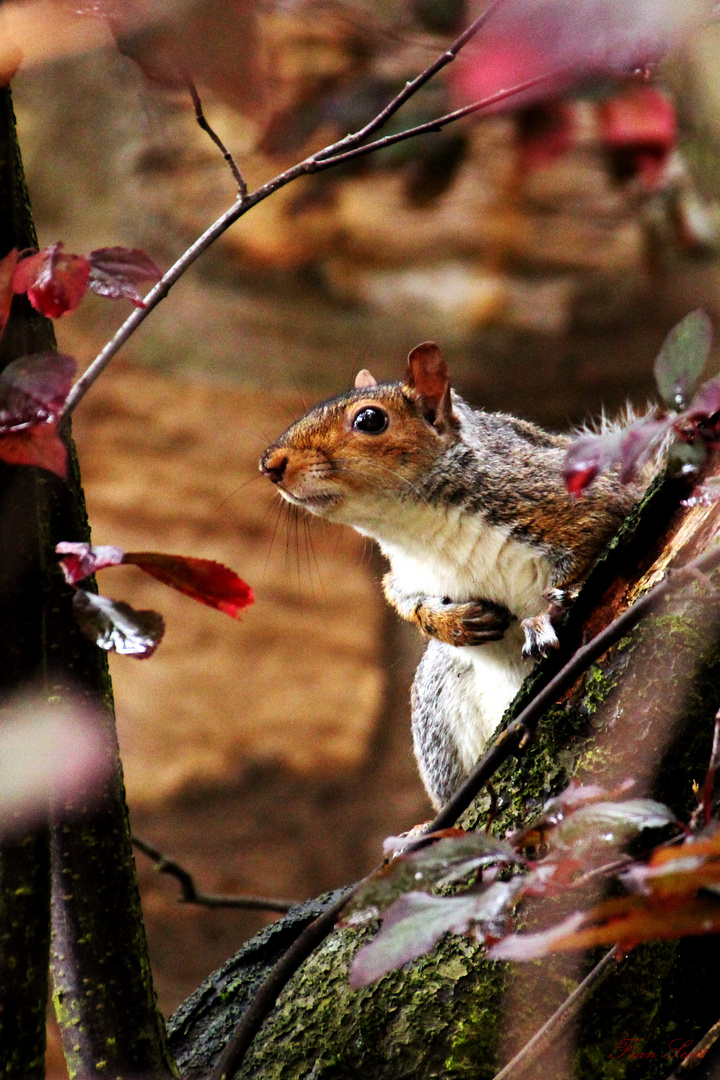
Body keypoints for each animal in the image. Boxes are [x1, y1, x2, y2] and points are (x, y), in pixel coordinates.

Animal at [259, 341, 634, 807]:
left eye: (370, 420)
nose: (270, 464)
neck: (420, 526)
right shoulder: (405, 575)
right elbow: (405, 602)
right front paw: (451, 622)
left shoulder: (579, 500)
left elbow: (588, 551)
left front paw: (545, 617)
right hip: (436, 703)